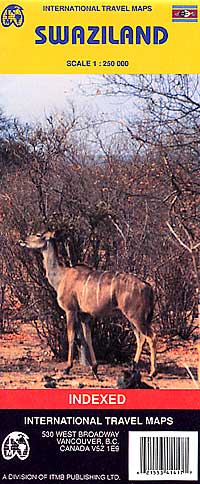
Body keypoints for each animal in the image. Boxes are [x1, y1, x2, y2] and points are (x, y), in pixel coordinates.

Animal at [21, 231, 157, 378]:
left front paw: (67, 368)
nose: (22, 240)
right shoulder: (84, 315)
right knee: (140, 338)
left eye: (38, 235)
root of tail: (148, 286)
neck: (61, 276)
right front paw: (94, 368)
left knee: (151, 336)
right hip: (132, 318)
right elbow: (87, 338)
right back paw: (133, 367)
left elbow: (71, 336)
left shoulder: (70, 310)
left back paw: (152, 372)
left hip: (135, 316)